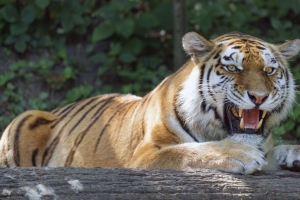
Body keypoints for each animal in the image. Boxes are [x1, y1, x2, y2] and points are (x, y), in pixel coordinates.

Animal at [0, 31, 300, 173]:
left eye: (269, 70)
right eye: (233, 68)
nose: (259, 97)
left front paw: (292, 154)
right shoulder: (145, 156)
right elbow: (189, 151)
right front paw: (239, 154)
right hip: (25, 118)